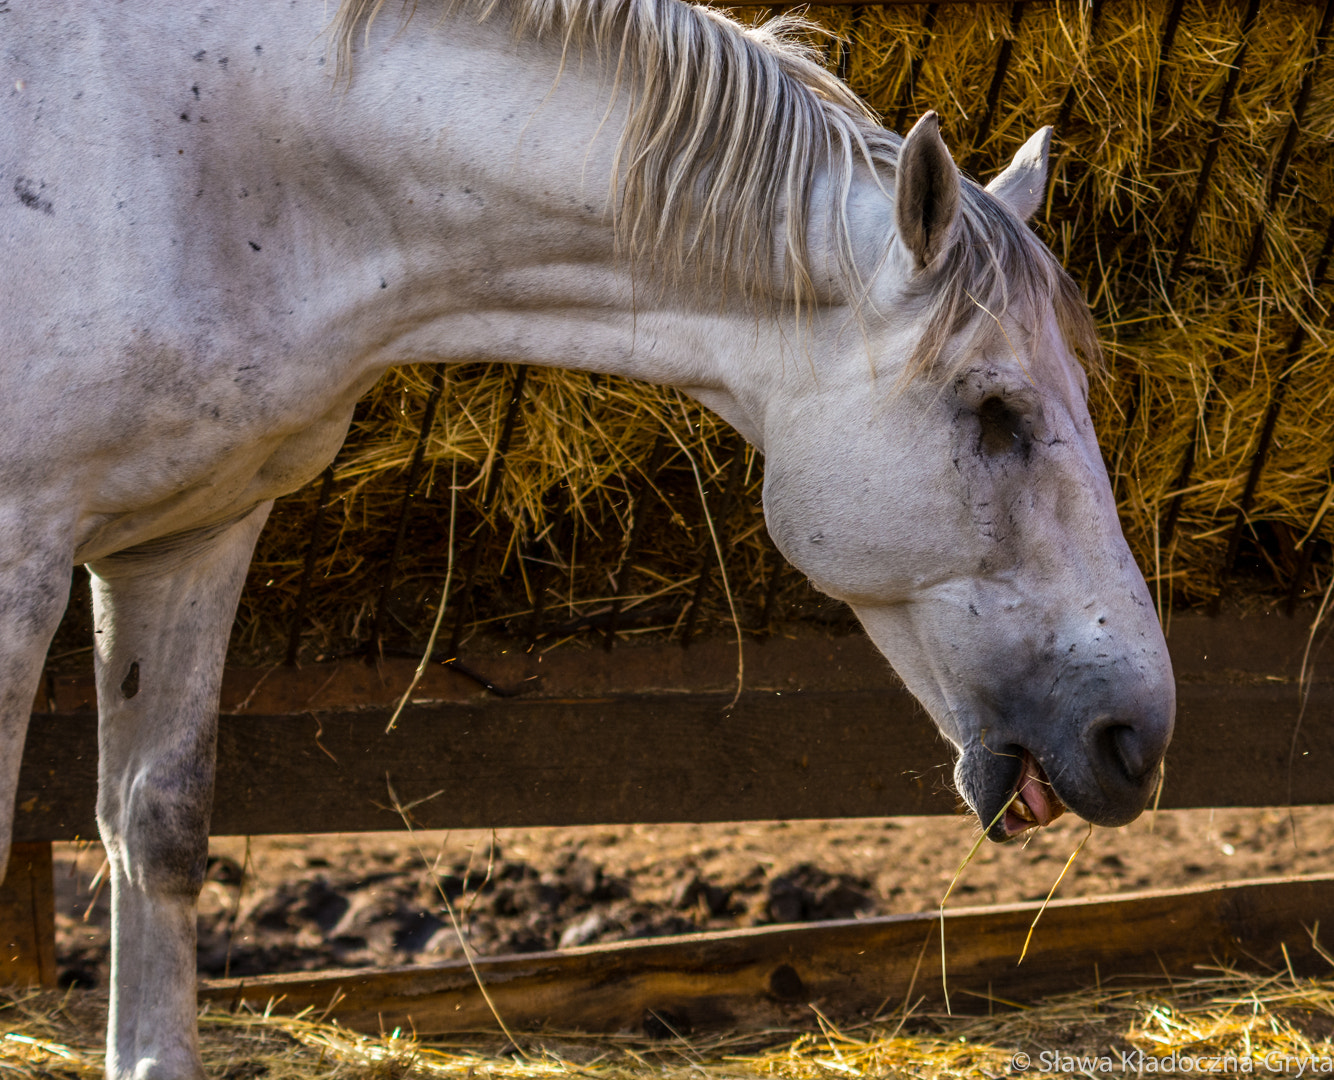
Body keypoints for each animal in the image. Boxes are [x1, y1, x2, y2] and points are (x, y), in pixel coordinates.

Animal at [5, 2, 1179, 1066]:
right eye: (995, 412)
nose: (1136, 739)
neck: (215, 166)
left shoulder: (193, 538)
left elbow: (159, 831)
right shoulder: (23, 558)